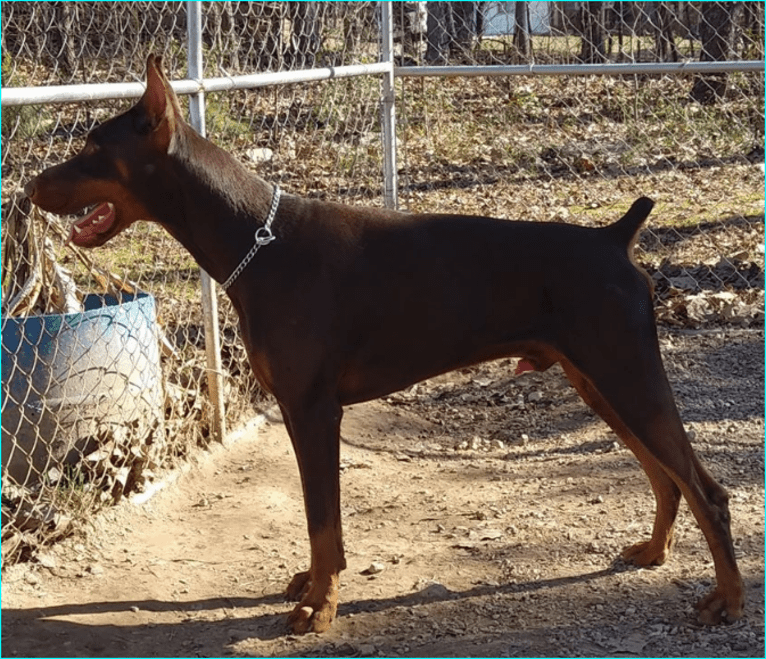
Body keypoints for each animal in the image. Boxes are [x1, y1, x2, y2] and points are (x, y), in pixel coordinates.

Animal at [24, 56, 744, 636]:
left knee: (705, 489)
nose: (29, 185)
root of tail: (614, 238)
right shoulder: (302, 413)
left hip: (627, 373)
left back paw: (728, 600)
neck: (257, 241)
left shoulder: (313, 409)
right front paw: (315, 586)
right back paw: (652, 552)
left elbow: (323, 520)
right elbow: (322, 524)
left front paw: (320, 607)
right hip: (598, 381)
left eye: (90, 145)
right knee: (666, 476)